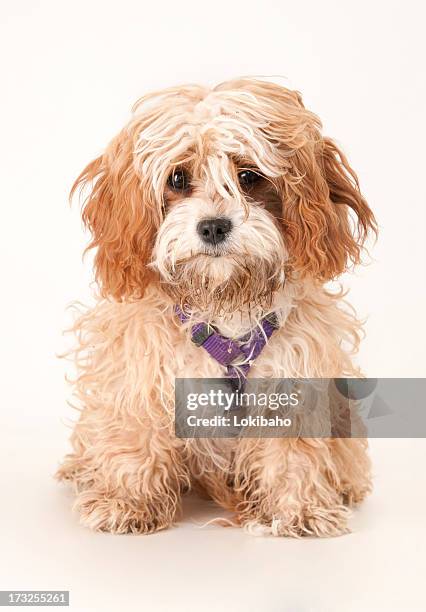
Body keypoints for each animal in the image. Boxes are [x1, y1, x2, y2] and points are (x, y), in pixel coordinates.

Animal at [56, 76, 376, 536]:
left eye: (248, 176)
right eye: (177, 177)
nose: (212, 226)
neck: (224, 305)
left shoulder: (293, 377)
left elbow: (292, 450)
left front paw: (297, 509)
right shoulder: (142, 368)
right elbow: (136, 433)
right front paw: (127, 502)